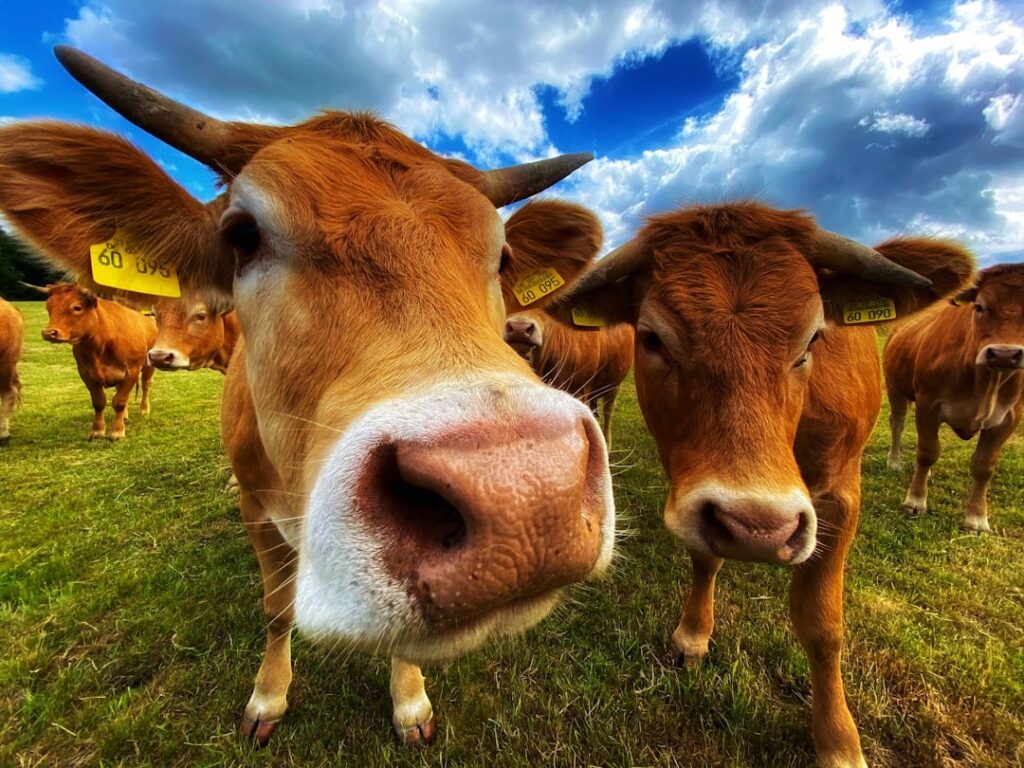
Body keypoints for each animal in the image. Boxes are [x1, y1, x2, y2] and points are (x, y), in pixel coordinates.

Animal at [27, 282, 156, 440]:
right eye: (48, 307)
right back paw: (125, 416)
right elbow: (99, 402)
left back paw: (144, 409)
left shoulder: (132, 370)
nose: (48, 333)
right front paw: (98, 430)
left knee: (145, 385)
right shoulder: (86, 373)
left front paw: (117, 431)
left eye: (77, 307)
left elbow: (119, 401)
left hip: (148, 366)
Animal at [553, 201, 973, 767]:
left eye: (814, 338)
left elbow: (823, 624)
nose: (758, 526)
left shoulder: (840, 495)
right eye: (653, 338)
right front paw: (693, 635)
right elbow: (705, 559)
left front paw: (838, 740)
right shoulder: (691, 489)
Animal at [884, 263, 1024, 533]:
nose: (1005, 353)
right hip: (895, 387)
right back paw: (894, 461)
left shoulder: (1009, 418)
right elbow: (927, 452)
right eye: (979, 306)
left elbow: (983, 466)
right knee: (897, 423)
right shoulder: (928, 404)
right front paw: (915, 502)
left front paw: (977, 518)